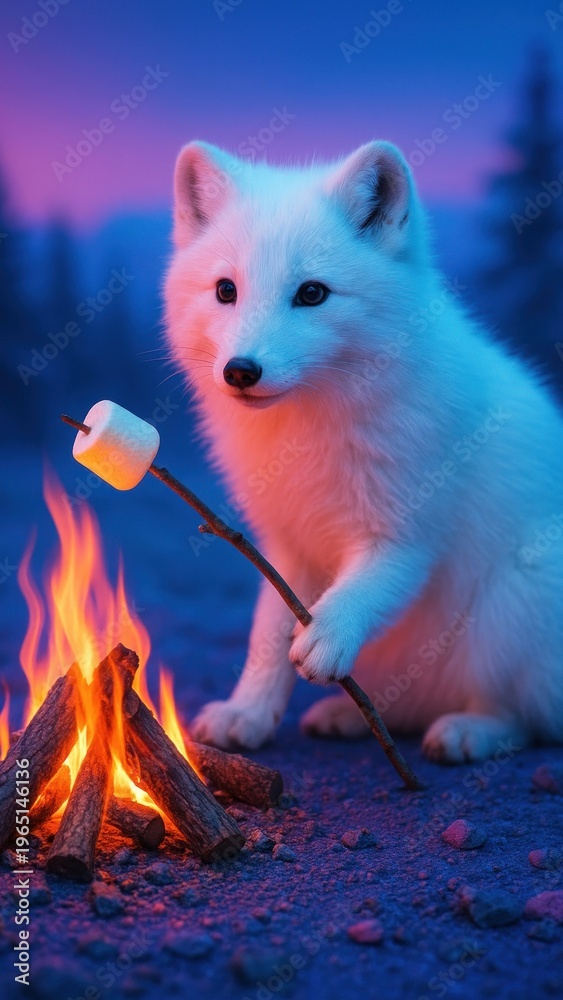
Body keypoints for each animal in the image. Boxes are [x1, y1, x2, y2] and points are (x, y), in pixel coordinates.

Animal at [165, 139, 563, 763]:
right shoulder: (285, 543)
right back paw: (349, 715)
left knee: (523, 714)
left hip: (512, 606)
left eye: (312, 293)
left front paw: (328, 633)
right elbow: (265, 635)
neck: (306, 428)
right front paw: (247, 713)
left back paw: (470, 731)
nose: (241, 371)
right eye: (226, 290)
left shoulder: (406, 536)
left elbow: (365, 589)